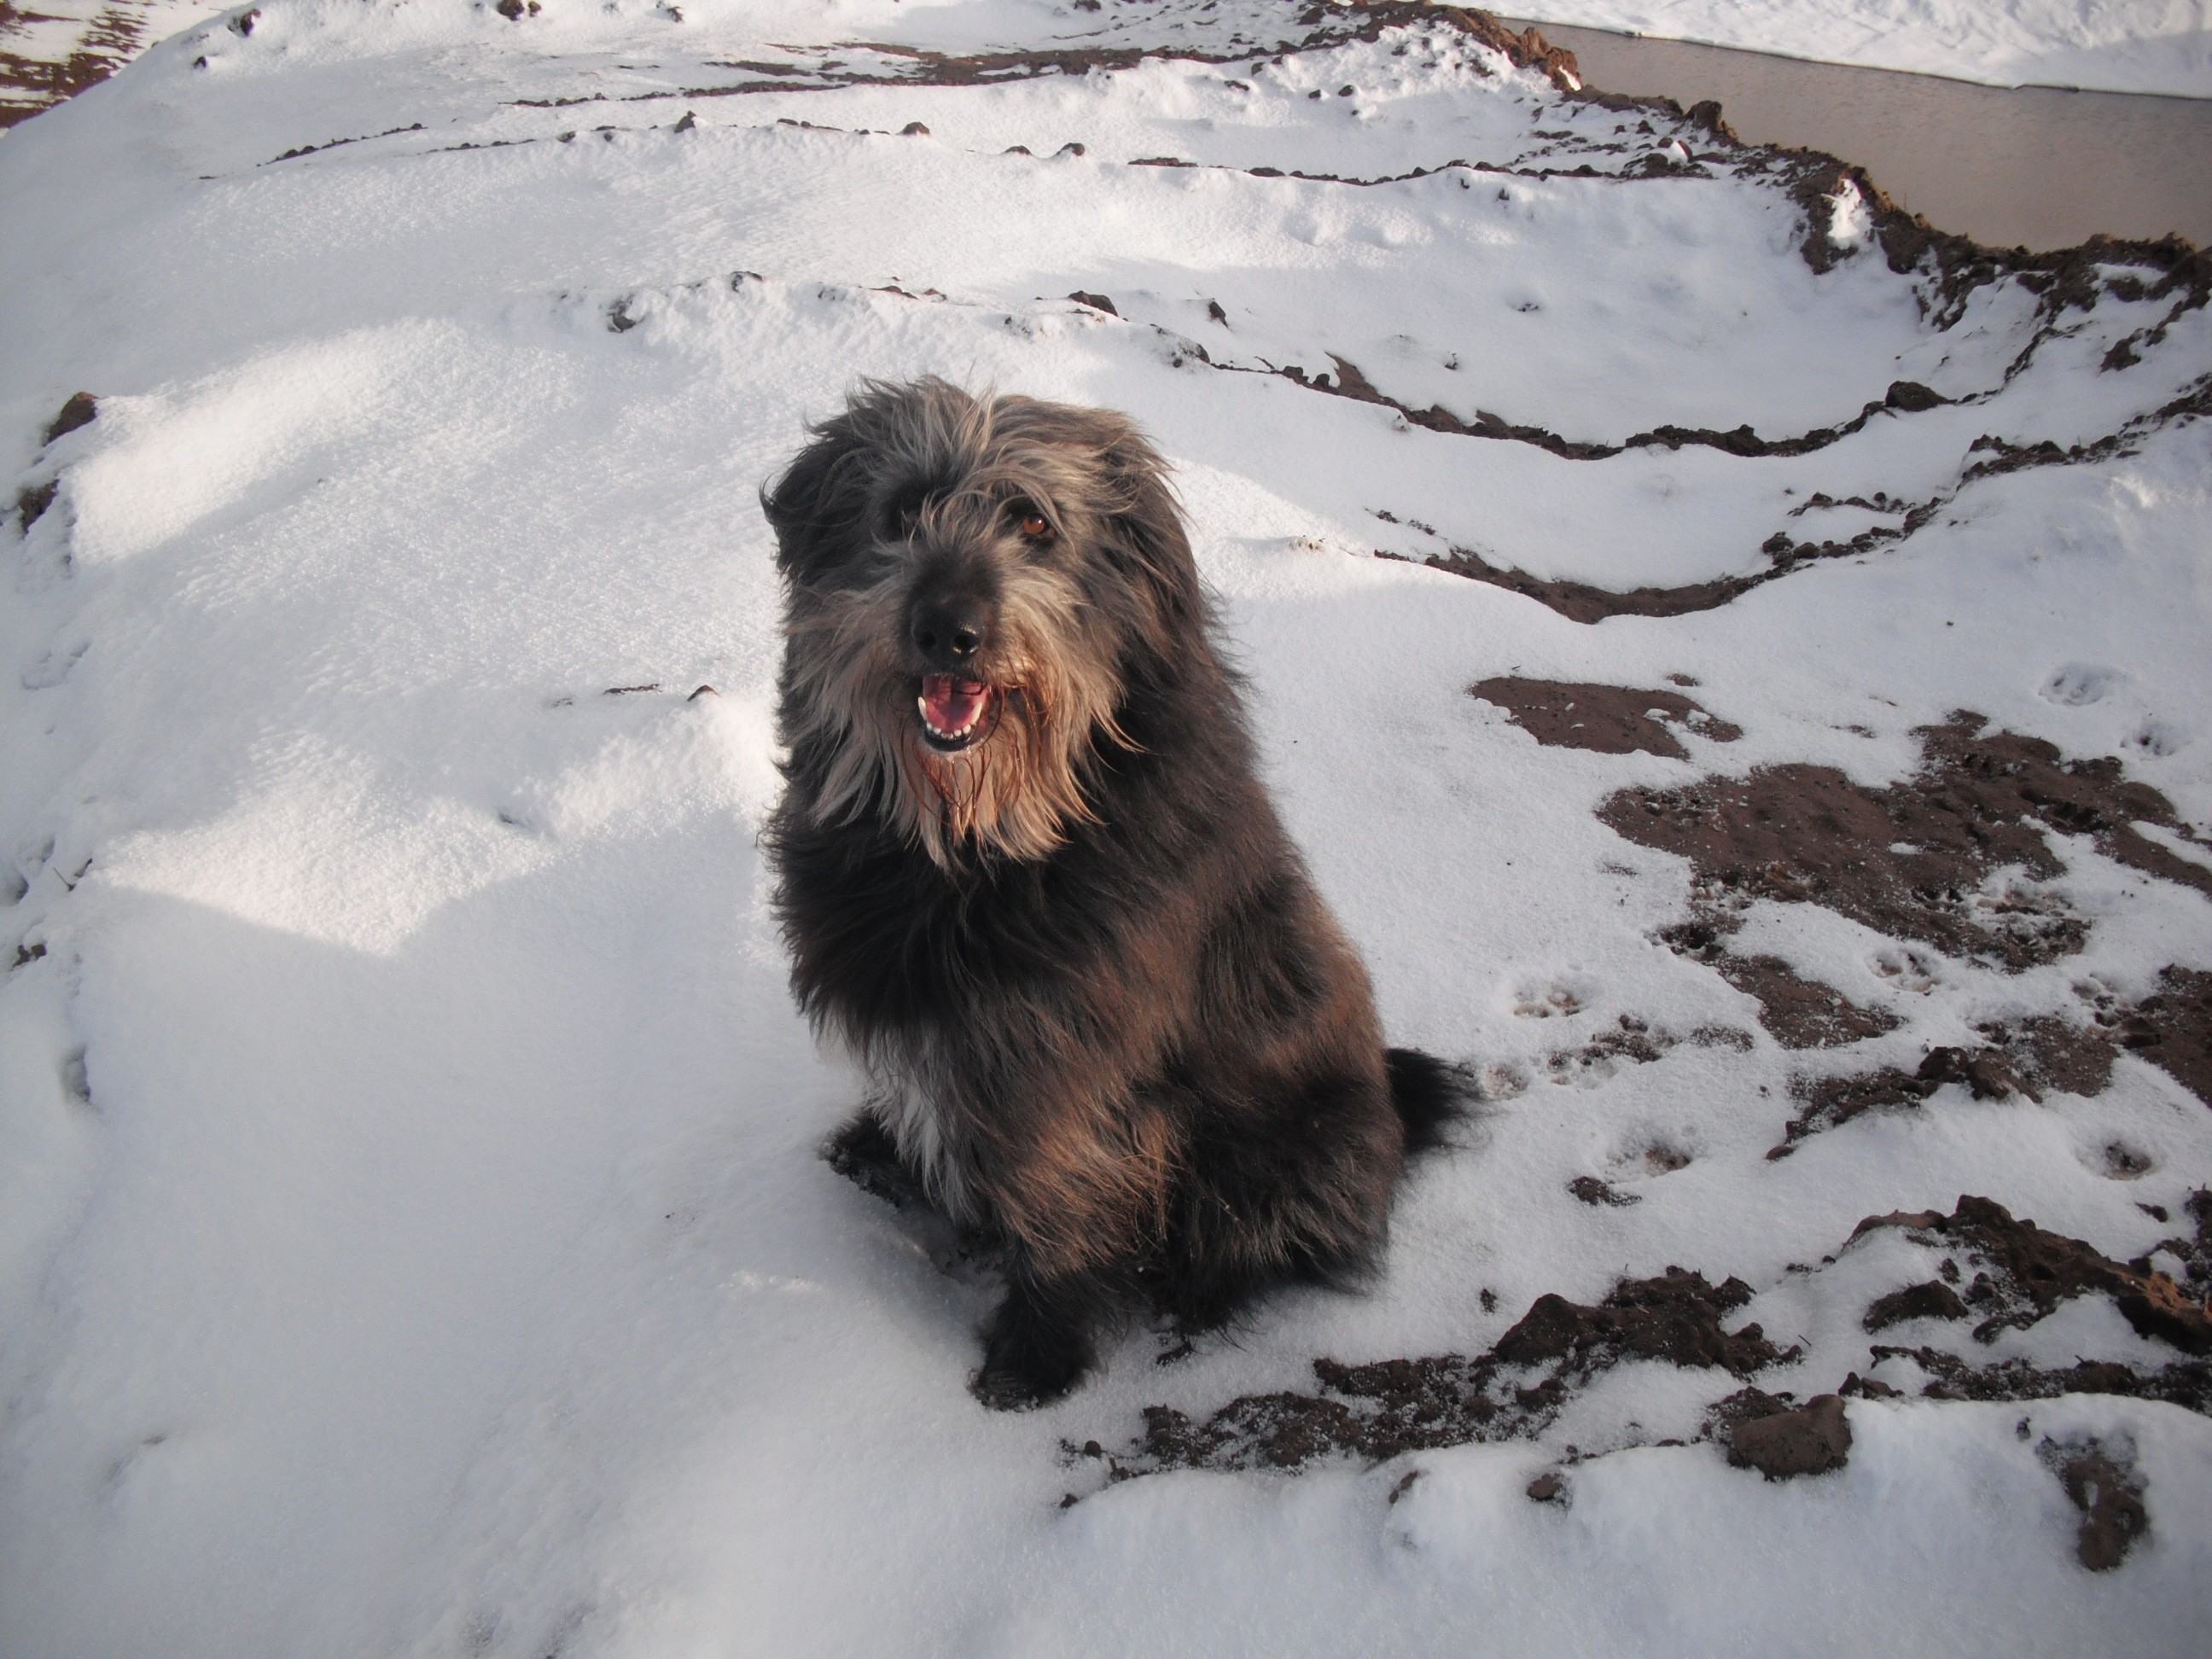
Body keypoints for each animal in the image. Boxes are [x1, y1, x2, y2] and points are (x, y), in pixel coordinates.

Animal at [760, 382, 1469, 1406]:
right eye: (902, 511)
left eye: (1033, 522)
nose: (948, 630)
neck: (980, 841)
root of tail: (1389, 1110)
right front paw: (890, 1154)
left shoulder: (1070, 1069)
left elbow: (1057, 1203)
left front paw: (1037, 1357)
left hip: (1277, 1159)